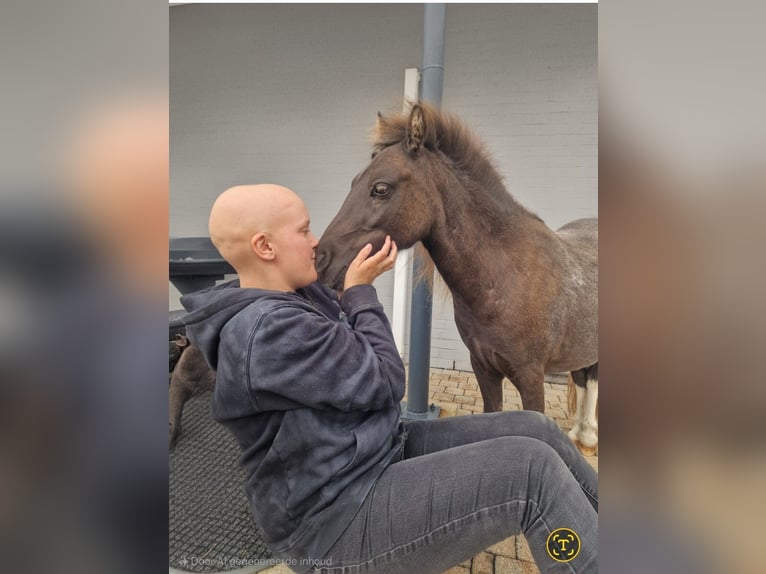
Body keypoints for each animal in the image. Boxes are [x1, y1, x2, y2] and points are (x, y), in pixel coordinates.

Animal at [315, 103, 598, 454]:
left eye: (381, 188)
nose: (320, 259)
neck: (504, 279)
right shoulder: (484, 368)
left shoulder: (531, 377)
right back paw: (578, 434)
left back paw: (588, 435)